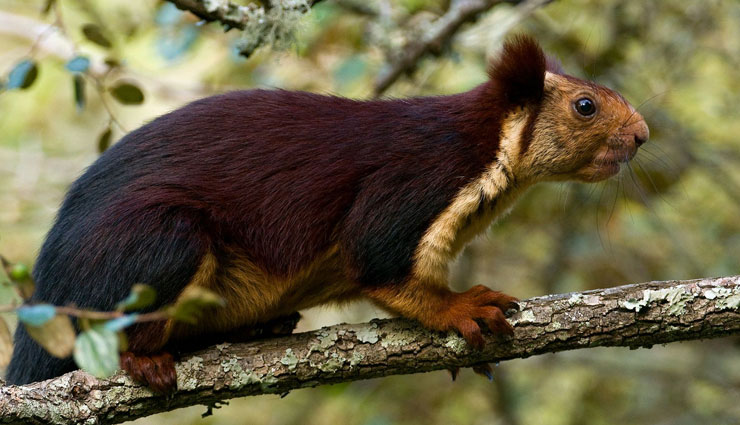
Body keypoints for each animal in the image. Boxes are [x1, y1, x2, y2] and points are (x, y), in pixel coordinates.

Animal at [6, 35, 648, 392]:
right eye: (585, 106)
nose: (643, 135)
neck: (486, 143)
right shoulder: (417, 180)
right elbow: (379, 262)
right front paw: (461, 306)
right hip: (158, 241)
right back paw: (146, 359)